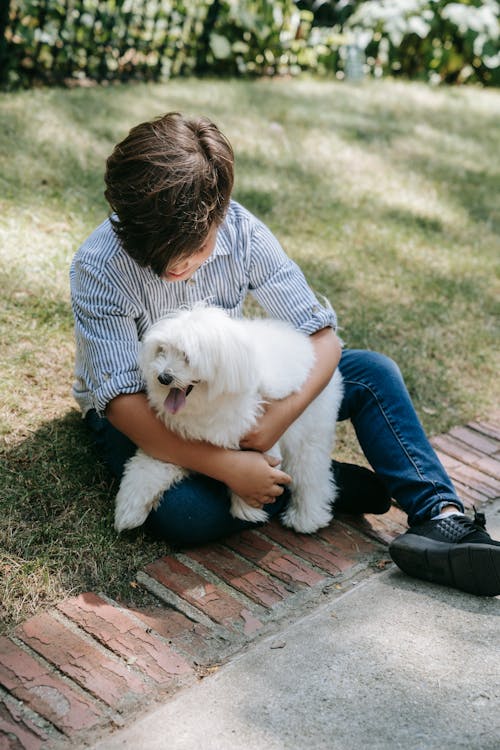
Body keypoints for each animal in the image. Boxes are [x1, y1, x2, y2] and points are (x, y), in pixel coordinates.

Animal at [115, 306, 344, 536]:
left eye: (187, 357)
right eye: (162, 350)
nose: (163, 377)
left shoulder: (261, 431)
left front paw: (247, 509)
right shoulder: (174, 443)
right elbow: (147, 469)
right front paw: (129, 510)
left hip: (309, 433)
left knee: (311, 476)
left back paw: (306, 519)